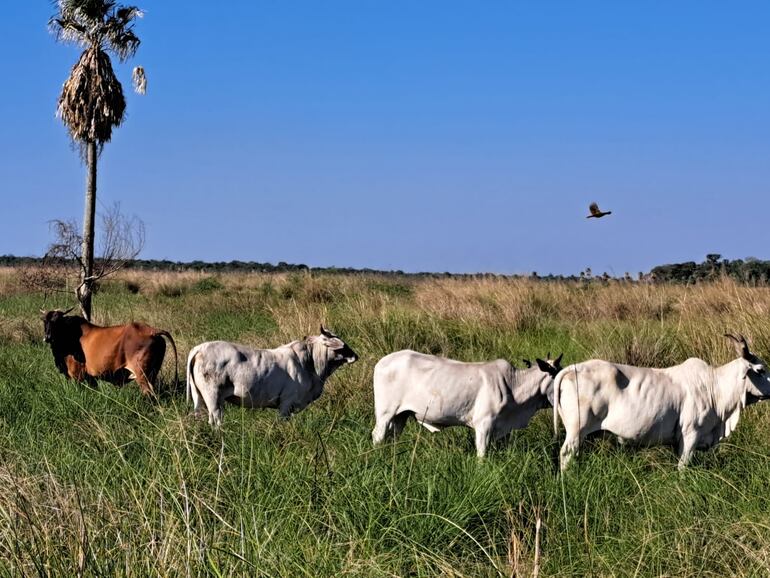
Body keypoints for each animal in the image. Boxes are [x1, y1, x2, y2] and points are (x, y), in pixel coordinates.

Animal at [41, 306, 178, 396]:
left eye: (57, 321)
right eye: (44, 321)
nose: (47, 337)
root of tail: (151, 331)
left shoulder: (77, 376)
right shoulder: (91, 378)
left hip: (141, 374)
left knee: (149, 394)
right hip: (153, 373)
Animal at [186, 326, 356, 426]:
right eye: (341, 345)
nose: (356, 356)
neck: (310, 362)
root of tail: (200, 348)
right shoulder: (286, 404)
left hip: (200, 397)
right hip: (213, 399)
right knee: (215, 420)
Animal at [370, 348, 560, 456]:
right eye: (558, 375)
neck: (514, 385)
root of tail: (382, 361)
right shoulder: (484, 424)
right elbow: (482, 455)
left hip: (401, 415)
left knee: (393, 436)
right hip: (385, 413)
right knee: (378, 435)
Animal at [552, 332, 768, 468]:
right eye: (760, 370)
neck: (713, 387)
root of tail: (573, 368)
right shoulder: (691, 435)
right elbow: (682, 468)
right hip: (576, 431)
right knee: (566, 454)